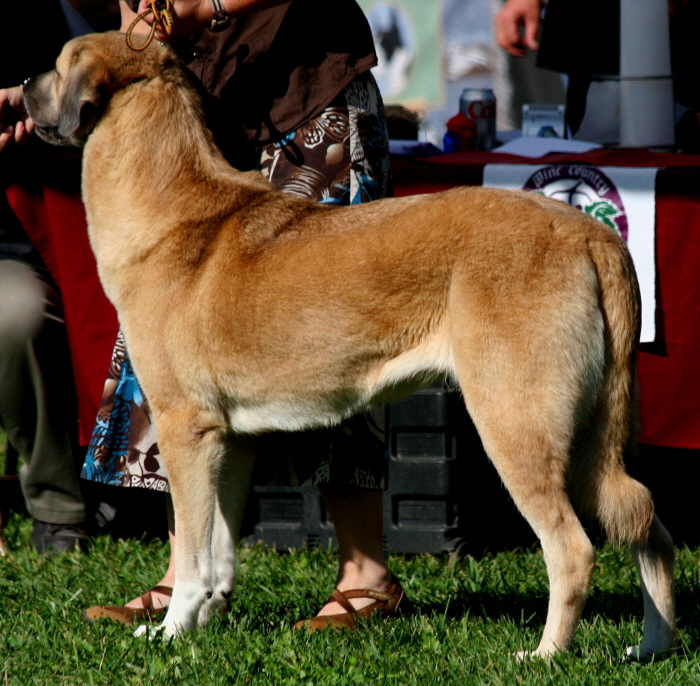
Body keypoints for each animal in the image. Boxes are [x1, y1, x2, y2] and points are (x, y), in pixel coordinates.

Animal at [24, 33, 676, 660]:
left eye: (59, 65)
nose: (24, 84)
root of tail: (592, 235)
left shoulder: (185, 429)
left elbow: (191, 558)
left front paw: (171, 634)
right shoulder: (231, 442)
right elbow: (220, 554)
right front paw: (206, 625)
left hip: (517, 427)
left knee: (574, 550)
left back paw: (543, 655)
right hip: (594, 437)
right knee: (647, 521)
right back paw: (653, 645)